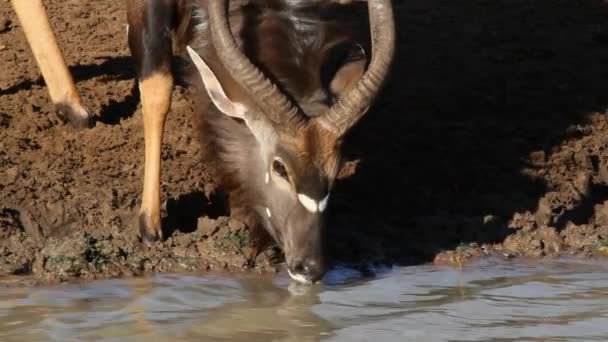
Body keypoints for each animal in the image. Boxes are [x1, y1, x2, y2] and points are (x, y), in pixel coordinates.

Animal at [13, 0, 400, 284]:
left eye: (337, 166)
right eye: (279, 166)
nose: (310, 267)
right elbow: (158, 84)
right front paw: (150, 226)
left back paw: (72, 106)